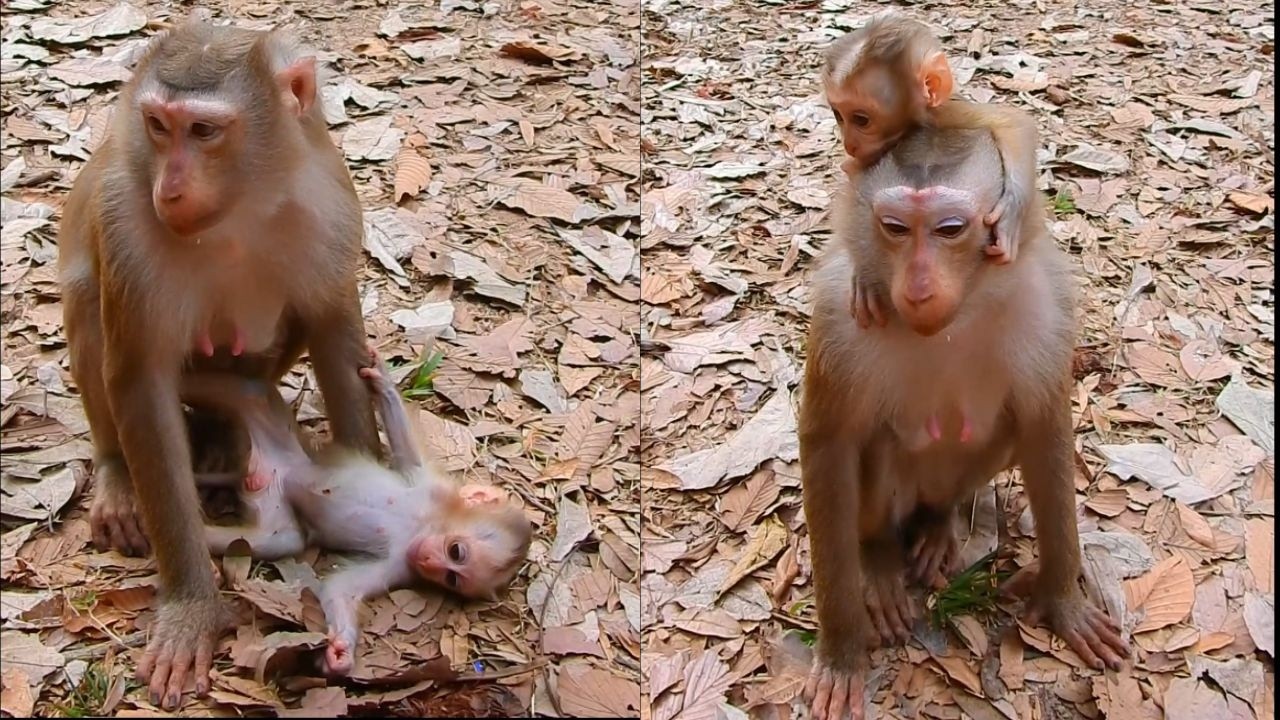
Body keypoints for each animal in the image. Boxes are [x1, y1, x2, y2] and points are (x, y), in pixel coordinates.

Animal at [57, 20, 379, 708]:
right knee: (90, 302)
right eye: (158, 125)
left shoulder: (330, 199)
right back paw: (119, 472)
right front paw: (190, 607)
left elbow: (332, 325)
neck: (240, 209)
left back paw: (220, 434)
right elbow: (141, 381)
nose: (170, 188)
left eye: (204, 131)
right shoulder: (126, 223)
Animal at [179, 349, 533, 677]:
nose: (430, 561)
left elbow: (342, 588)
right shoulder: (433, 490)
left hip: (271, 498)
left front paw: (341, 652)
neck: (422, 525)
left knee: (279, 540)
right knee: (245, 391)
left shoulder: (403, 563)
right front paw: (384, 382)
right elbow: (407, 452)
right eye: (456, 551)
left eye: (452, 577)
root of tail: (270, 470)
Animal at [798, 126, 1128, 720]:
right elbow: (828, 442)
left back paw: (937, 524)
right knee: (875, 448)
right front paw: (840, 650)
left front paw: (1062, 599)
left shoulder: (1047, 303)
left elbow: (1043, 426)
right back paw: (879, 556)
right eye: (895, 228)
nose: (918, 285)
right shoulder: (837, 310)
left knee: (1000, 437)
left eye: (950, 230)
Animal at [822, 10, 1040, 330]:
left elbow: (1013, 124)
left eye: (861, 119)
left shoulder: (950, 114)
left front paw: (1010, 215)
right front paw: (863, 274)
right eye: (839, 115)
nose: (849, 143)